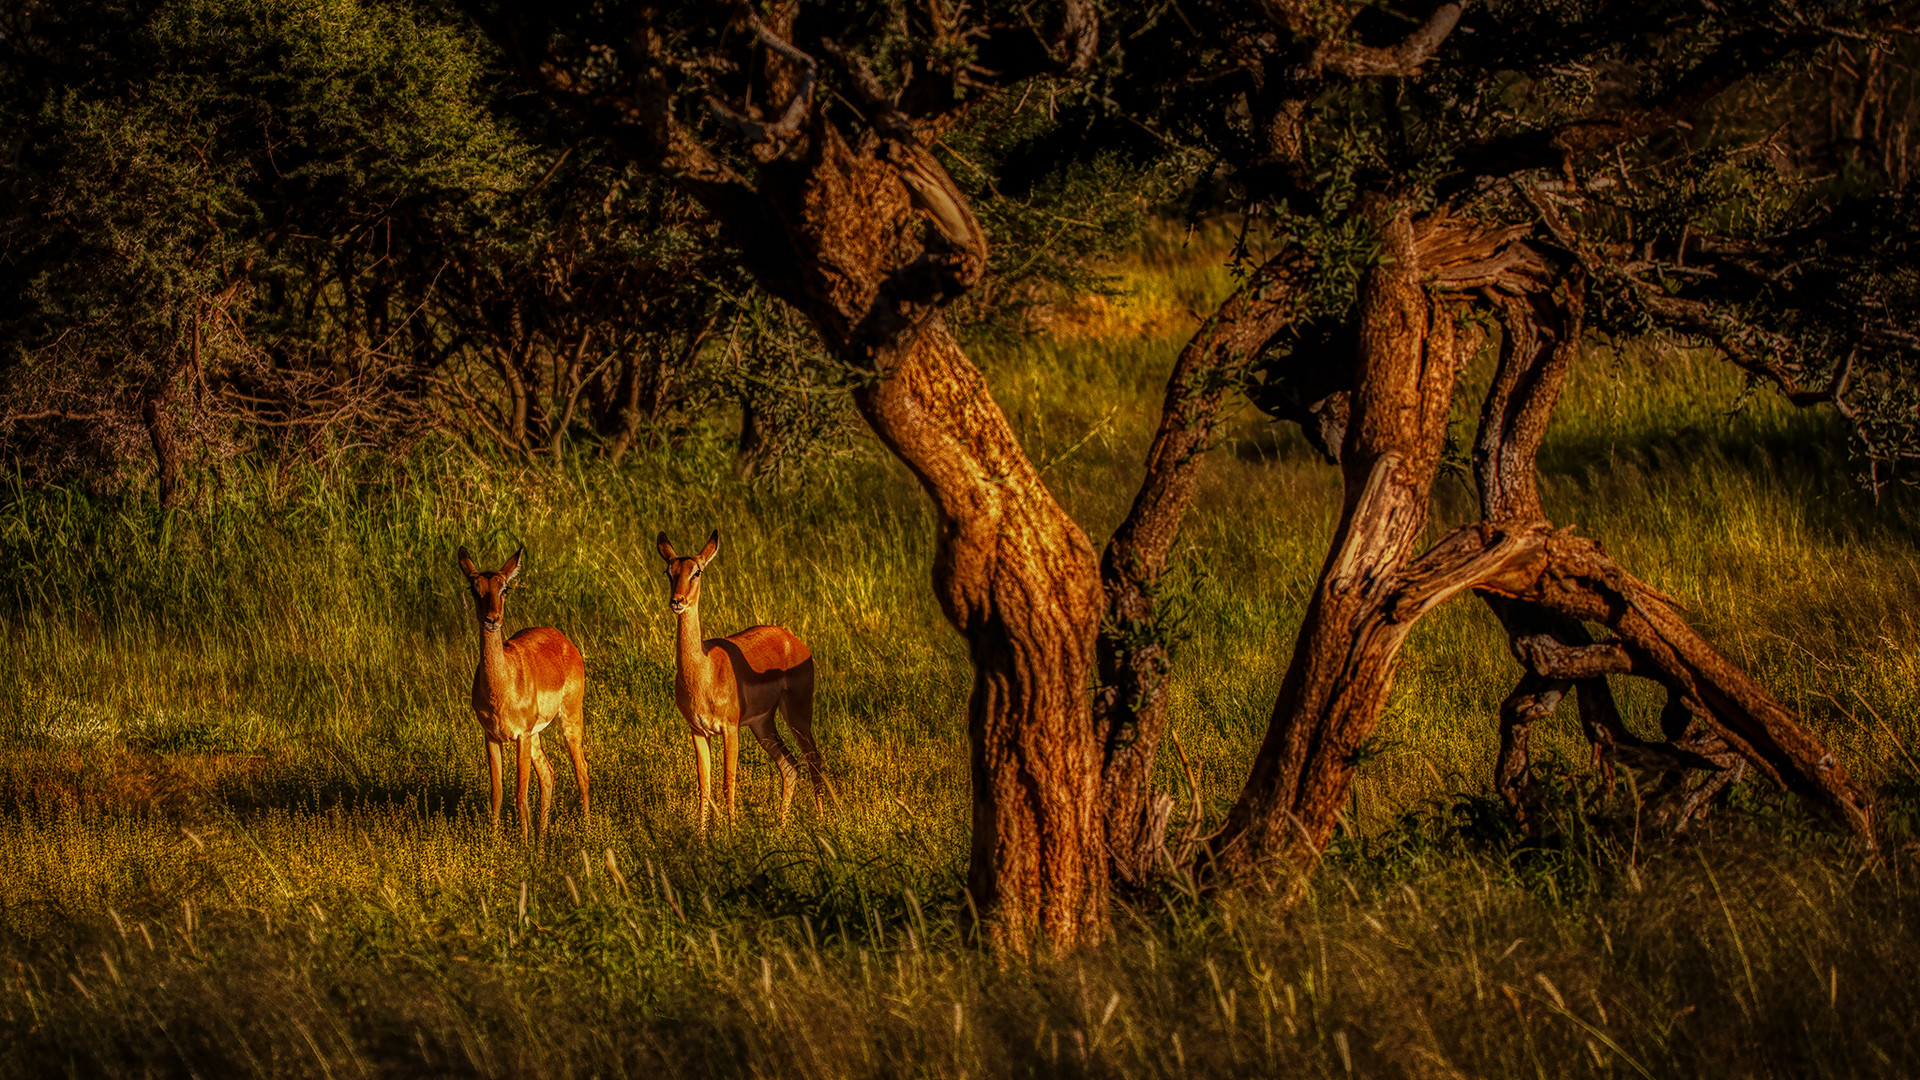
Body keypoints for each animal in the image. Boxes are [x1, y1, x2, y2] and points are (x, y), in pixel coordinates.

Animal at [460, 545, 587, 841]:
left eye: (504, 587)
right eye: (474, 588)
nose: (492, 619)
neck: (500, 690)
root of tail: (564, 640)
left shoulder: (520, 736)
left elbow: (520, 795)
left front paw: (522, 846)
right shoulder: (491, 737)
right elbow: (497, 794)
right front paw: (495, 844)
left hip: (569, 720)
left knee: (582, 771)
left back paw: (589, 831)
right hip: (537, 736)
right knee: (549, 773)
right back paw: (542, 838)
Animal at [660, 526, 825, 826]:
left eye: (697, 572)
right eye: (669, 571)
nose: (677, 601)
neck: (704, 670)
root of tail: (793, 640)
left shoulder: (730, 729)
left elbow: (728, 783)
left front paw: (732, 831)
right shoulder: (698, 731)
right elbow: (704, 786)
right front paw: (701, 835)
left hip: (797, 715)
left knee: (813, 760)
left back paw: (821, 821)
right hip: (763, 725)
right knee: (790, 765)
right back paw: (781, 827)